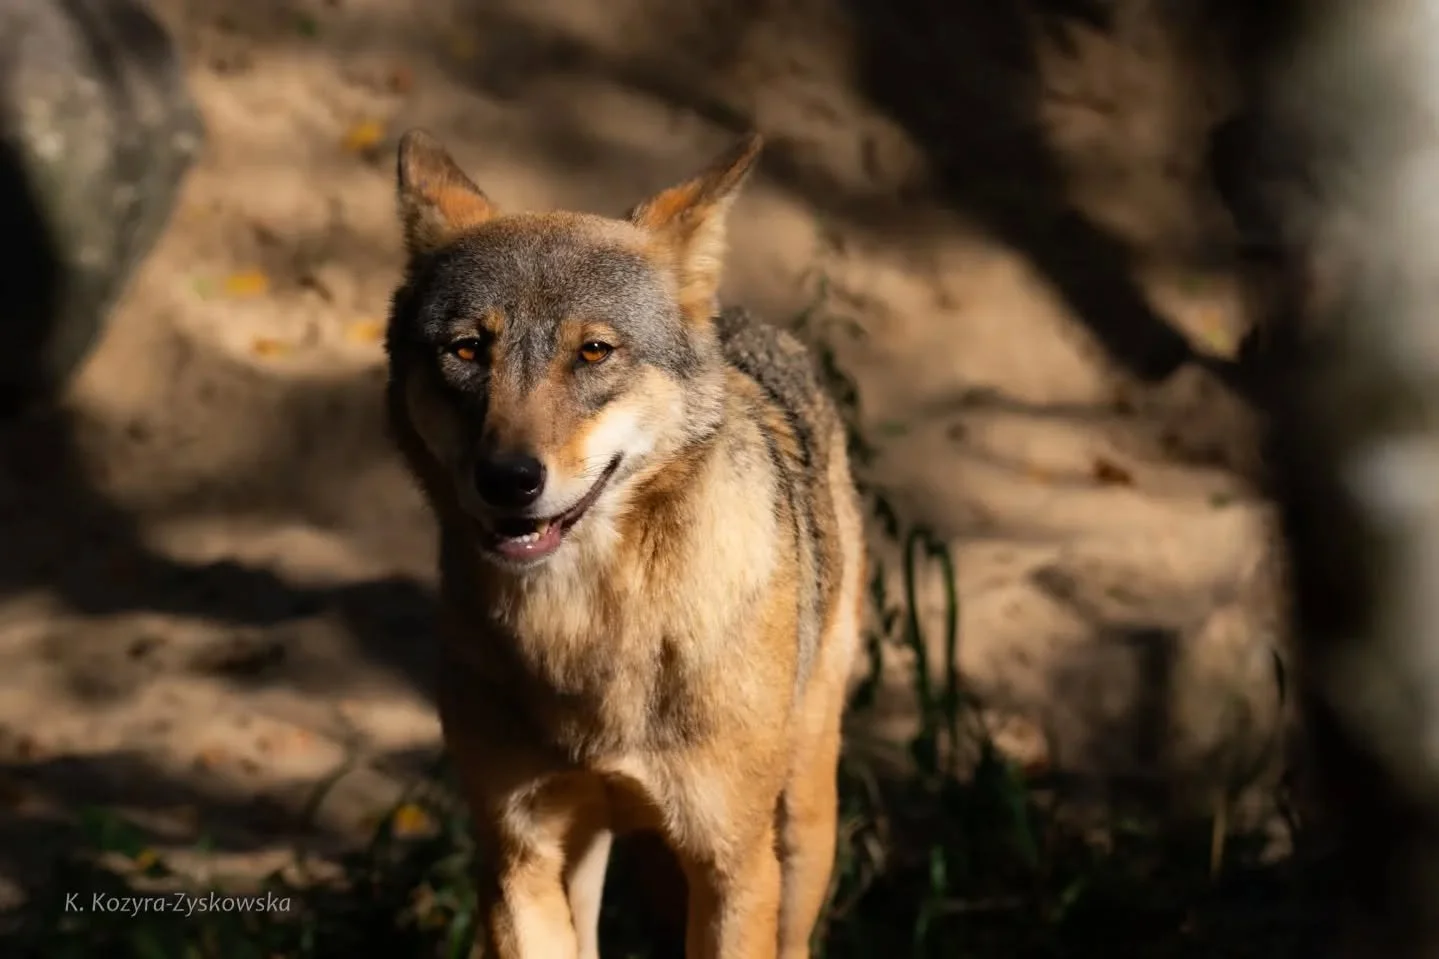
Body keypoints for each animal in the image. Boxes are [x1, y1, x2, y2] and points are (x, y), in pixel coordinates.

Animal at [383, 127, 866, 959]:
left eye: (594, 352)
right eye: (468, 350)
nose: (508, 479)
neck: (589, 637)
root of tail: (747, 323)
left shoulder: (731, 865)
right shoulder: (516, 857)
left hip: (800, 826)